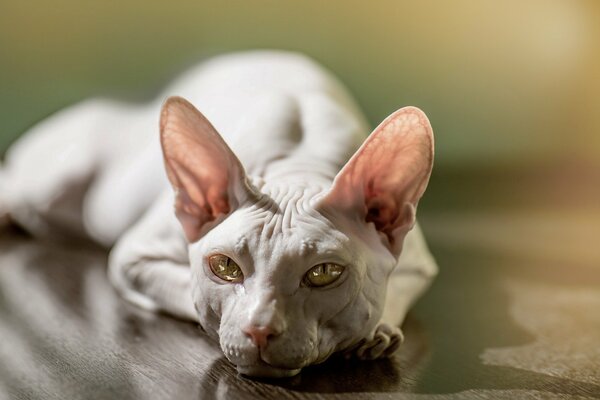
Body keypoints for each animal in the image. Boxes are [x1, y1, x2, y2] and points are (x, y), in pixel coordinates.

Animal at [2, 50, 438, 378]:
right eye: (225, 267)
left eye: (324, 273)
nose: (259, 329)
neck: (297, 161)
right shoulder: (131, 257)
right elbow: (187, 292)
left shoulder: (419, 264)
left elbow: (397, 289)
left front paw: (376, 332)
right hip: (61, 179)